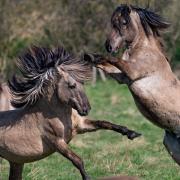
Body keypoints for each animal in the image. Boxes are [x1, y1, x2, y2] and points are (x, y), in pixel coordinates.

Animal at [0, 46, 141, 180]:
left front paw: (132, 133)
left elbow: (105, 123)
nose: (86, 109)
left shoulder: (81, 126)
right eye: (72, 85)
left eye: (82, 83)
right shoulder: (57, 142)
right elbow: (77, 160)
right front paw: (87, 177)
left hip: (16, 162)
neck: (55, 115)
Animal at [87, 3, 180, 165]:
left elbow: (115, 60)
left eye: (124, 23)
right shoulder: (123, 77)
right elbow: (107, 66)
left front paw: (98, 55)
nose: (109, 46)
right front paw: (91, 57)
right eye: (113, 23)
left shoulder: (132, 71)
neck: (145, 50)